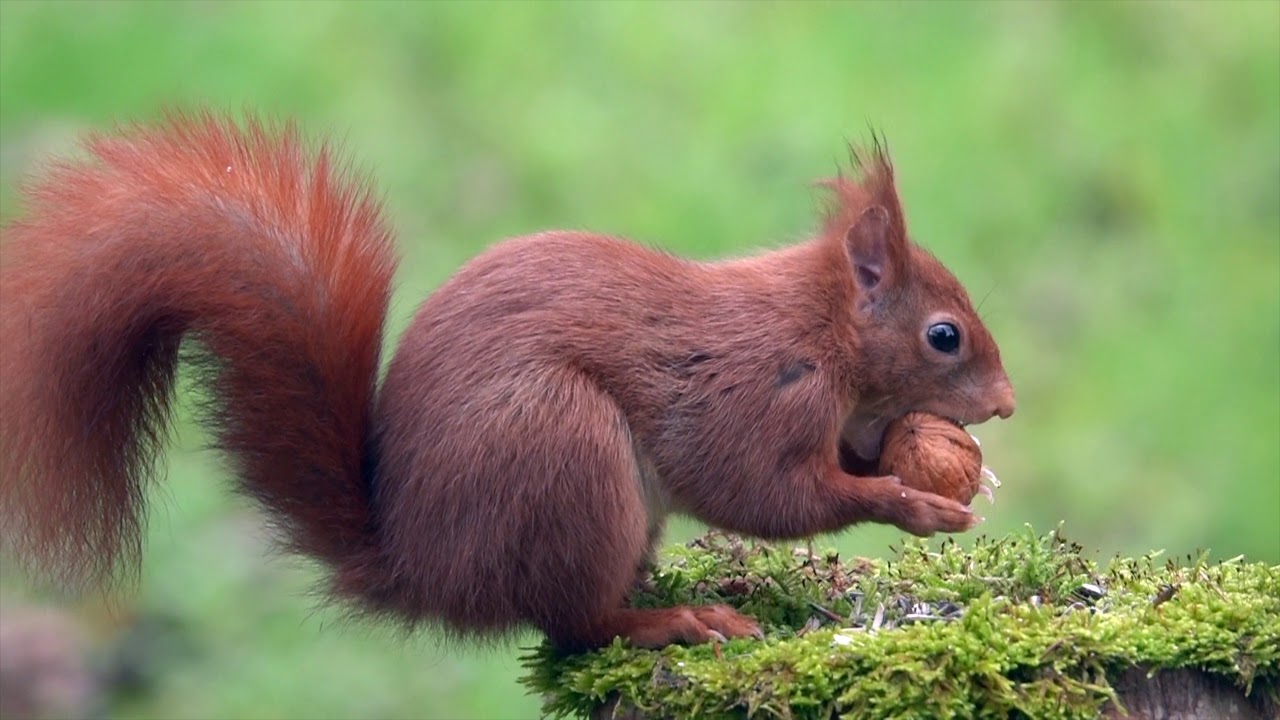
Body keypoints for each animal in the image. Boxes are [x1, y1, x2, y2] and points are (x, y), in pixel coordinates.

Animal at [0, 112, 1015, 652]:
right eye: (944, 336)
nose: (1005, 406)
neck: (818, 333)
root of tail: (423, 572)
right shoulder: (759, 394)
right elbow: (766, 494)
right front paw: (912, 503)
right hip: (563, 453)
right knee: (576, 622)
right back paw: (677, 619)